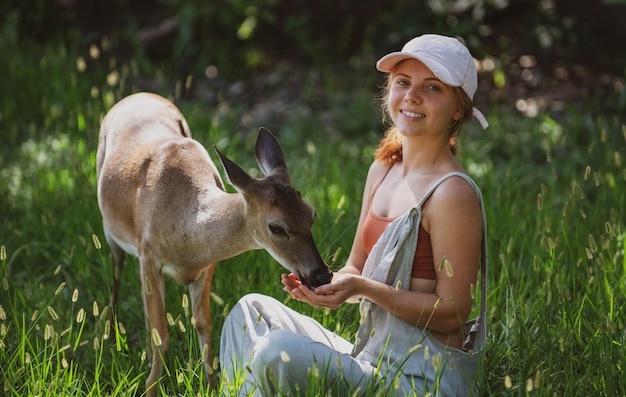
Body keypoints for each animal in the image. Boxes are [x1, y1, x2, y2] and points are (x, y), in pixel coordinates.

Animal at [95, 91, 332, 394]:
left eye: (312, 214)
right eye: (276, 227)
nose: (322, 274)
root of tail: (137, 95)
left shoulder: (207, 266)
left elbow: (203, 325)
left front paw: (208, 385)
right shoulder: (148, 256)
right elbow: (162, 335)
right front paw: (150, 388)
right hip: (110, 230)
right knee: (116, 274)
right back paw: (111, 336)